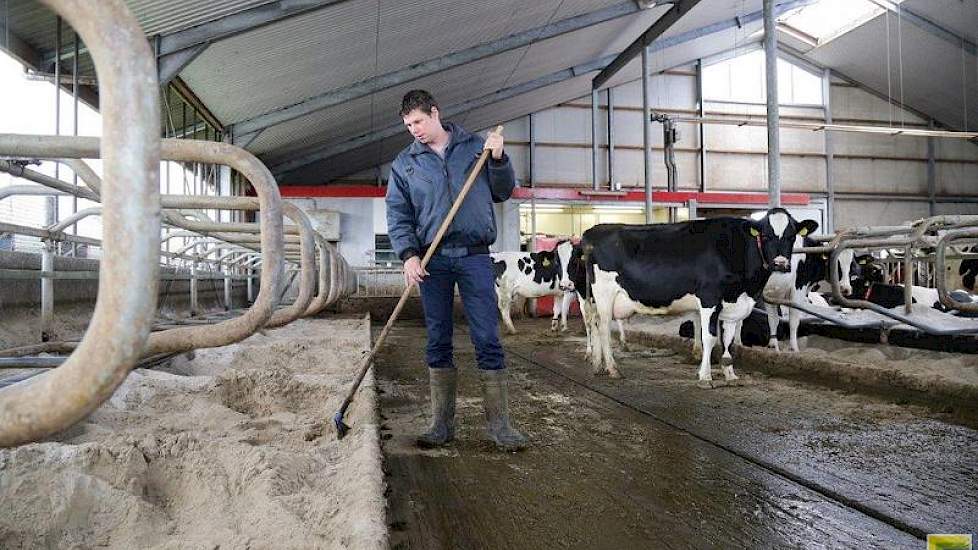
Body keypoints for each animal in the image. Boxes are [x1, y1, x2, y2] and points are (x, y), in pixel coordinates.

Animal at [580, 209, 816, 386]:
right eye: (765, 235)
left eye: (792, 236)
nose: (780, 264)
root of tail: (593, 231)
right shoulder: (709, 298)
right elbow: (709, 338)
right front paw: (705, 376)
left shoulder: (732, 303)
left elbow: (729, 340)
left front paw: (730, 374)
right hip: (604, 294)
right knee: (603, 327)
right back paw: (612, 368)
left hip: (596, 298)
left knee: (595, 323)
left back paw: (598, 365)